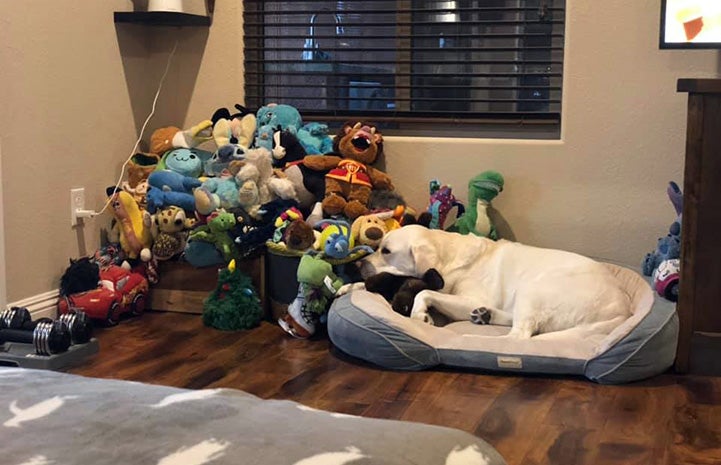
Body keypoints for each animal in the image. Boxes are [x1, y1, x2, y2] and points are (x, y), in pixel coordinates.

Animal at [352, 225, 632, 338]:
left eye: (386, 250)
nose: (357, 264)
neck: (449, 258)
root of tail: (623, 311)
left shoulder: (469, 297)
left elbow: (423, 293)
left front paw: (420, 314)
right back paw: (484, 315)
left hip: (534, 287)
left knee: (519, 336)